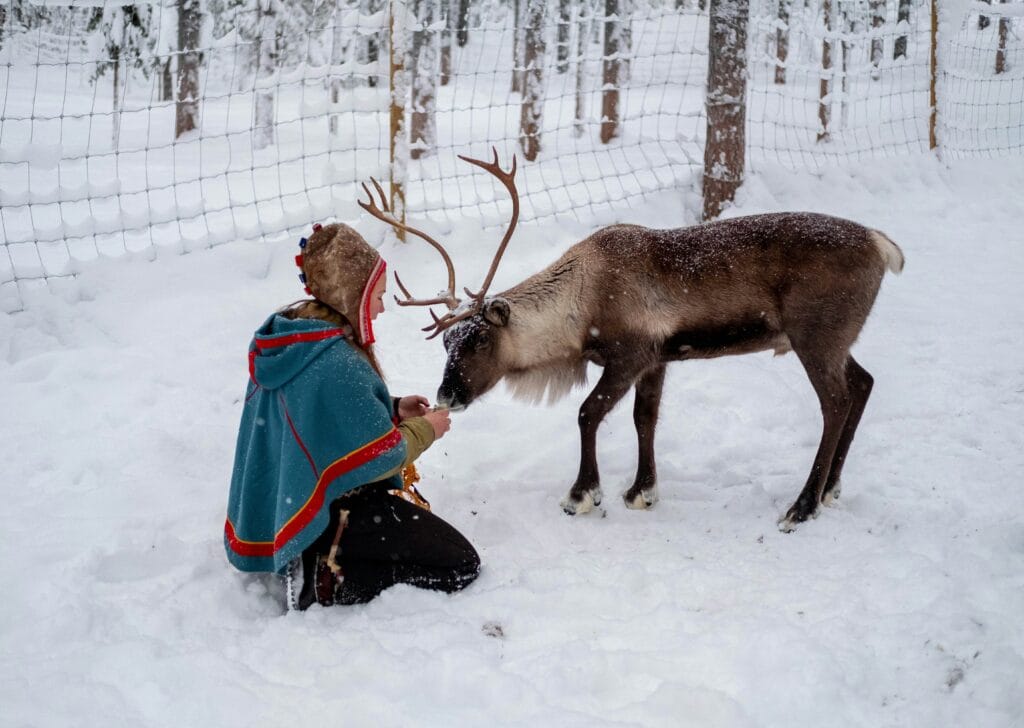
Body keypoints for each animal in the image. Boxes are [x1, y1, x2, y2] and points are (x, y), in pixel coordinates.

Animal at [359, 149, 904, 531]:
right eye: (445, 343)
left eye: (477, 342)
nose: (447, 395)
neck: (580, 305)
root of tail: (884, 246)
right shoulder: (658, 359)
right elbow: (646, 418)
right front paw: (642, 490)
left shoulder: (630, 355)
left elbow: (587, 414)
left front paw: (582, 494)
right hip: (836, 341)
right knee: (864, 382)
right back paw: (831, 489)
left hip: (815, 336)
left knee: (835, 401)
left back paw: (802, 506)